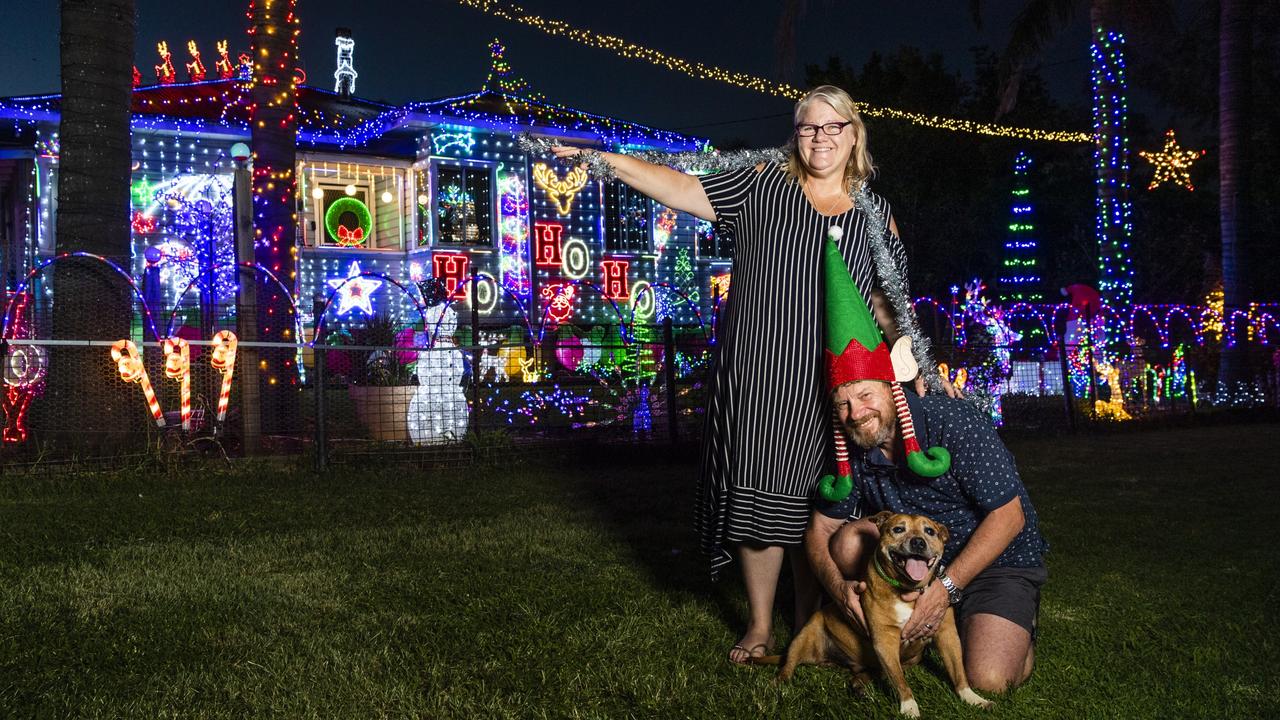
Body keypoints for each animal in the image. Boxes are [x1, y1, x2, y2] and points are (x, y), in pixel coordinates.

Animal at [757, 509, 988, 712]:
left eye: (929, 531)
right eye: (898, 529)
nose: (918, 542)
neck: (907, 590)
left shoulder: (947, 634)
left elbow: (958, 670)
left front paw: (971, 697)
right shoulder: (885, 640)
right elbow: (901, 682)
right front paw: (909, 707)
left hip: (906, 660)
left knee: (874, 673)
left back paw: (860, 684)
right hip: (805, 634)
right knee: (787, 667)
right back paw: (777, 686)